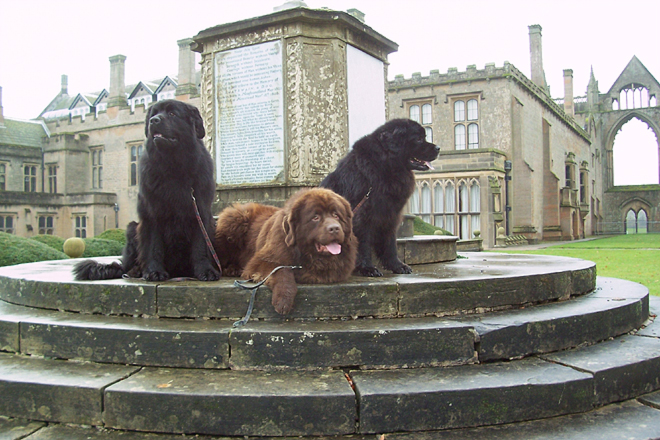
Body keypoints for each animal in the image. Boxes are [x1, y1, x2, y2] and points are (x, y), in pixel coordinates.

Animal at [74, 99, 220, 282]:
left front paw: (205, 270)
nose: (154, 121)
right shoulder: (152, 212)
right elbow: (153, 246)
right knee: (127, 264)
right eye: (153, 114)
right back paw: (135, 271)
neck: (173, 166)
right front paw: (154, 271)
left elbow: (201, 245)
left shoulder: (200, 210)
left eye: (172, 113)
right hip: (132, 228)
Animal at [214, 187, 356, 314]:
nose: (335, 228)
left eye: (336, 215)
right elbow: (281, 269)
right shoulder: (261, 261)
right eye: (315, 217)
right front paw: (283, 299)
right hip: (233, 221)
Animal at [320, 118, 438, 276]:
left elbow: (390, 243)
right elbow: (363, 244)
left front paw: (397, 265)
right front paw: (367, 268)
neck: (383, 167)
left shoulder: (390, 215)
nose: (438, 148)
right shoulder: (362, 216)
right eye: (419, 139)